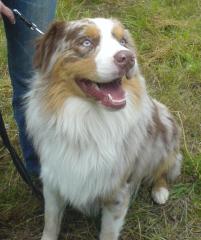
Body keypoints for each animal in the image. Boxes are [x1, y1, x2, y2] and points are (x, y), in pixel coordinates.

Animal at [25, 17, 182, 239]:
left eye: (123, 41)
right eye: (86, 42)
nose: (128, 58)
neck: (87, 124)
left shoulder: (117, 191)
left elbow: (108, 233)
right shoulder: (54, 179)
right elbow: (51, 222)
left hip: (165, 126)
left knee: (166, 167)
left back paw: (160, 190)